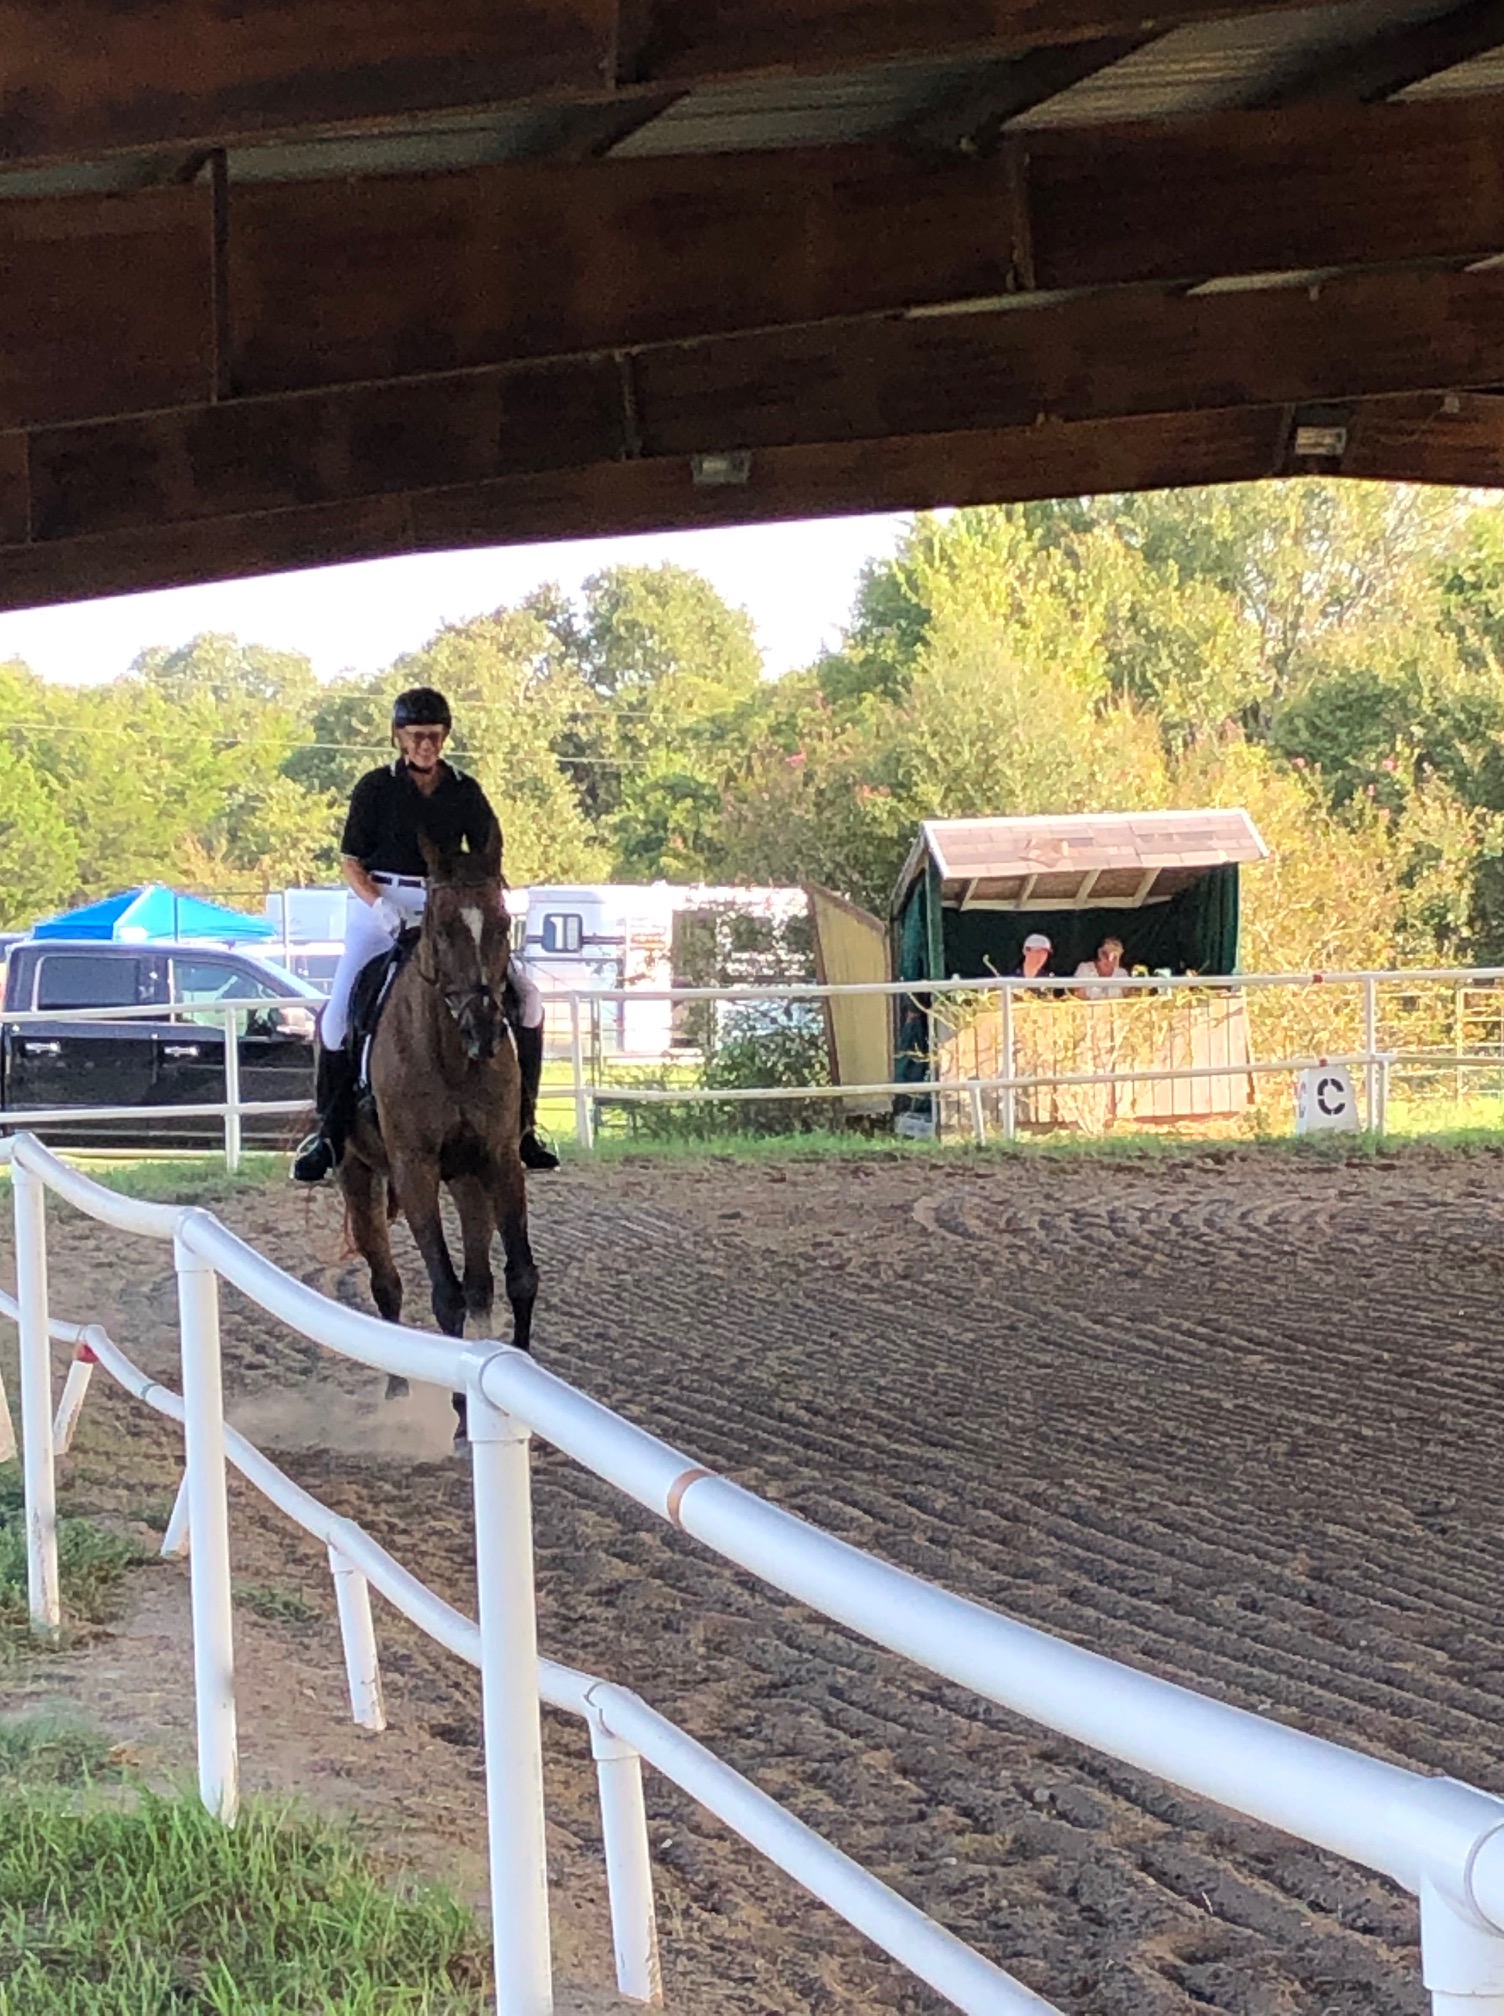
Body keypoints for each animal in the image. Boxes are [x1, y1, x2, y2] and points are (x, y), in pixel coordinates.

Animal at [337, 821, 537, 1441]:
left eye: (501, 924)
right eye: (443, 929)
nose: (485, 1029)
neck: (451, 1055)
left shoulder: (500, 1159)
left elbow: (518, 1276)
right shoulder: (415, 1170)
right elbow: (444, 1294)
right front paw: (460, 1417)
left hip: (469, 1179)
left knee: (480, 1283)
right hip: (358, 1175)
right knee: (387, 1283)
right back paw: (398, 1390)